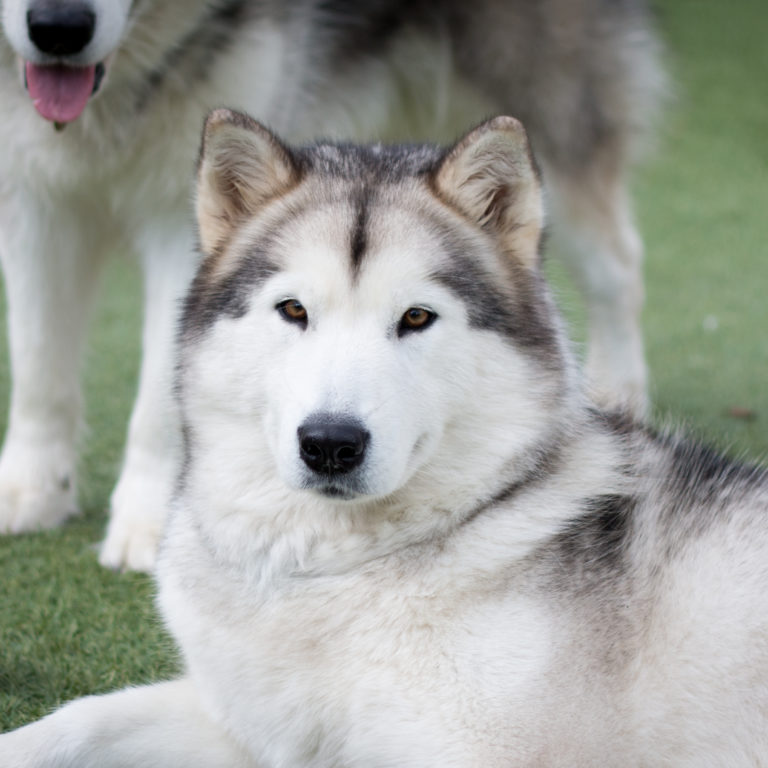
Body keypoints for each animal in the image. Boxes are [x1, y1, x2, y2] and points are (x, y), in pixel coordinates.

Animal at [0, 0, 664, 568]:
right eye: (293, 310)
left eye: (417, 317)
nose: (58, 27)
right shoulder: (29, 194)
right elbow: (38, 363)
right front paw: (29, 493)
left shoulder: (171, 211)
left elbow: (157, 397)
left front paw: (148, 522)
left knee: (621, 268)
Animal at [3, 114, 764, 768]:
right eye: (293, 310)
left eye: (417, 317)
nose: (330, 443)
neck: (330, 573)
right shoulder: (253, 730)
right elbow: (75, 718)